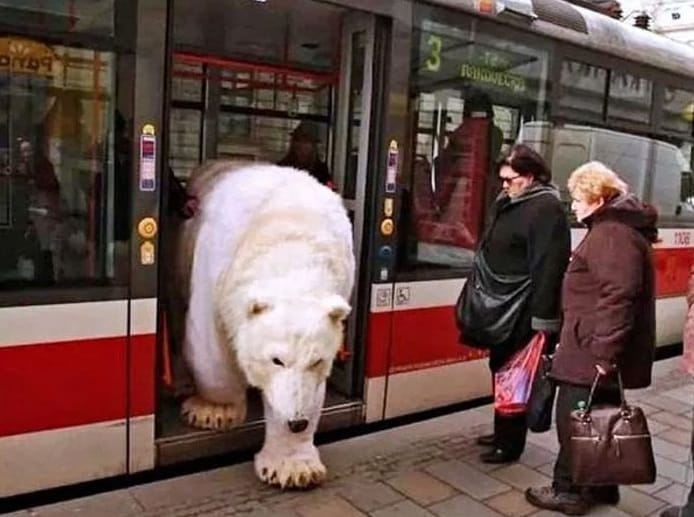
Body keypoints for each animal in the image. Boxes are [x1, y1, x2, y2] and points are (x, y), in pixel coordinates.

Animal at [172, 160, 356, 488]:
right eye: (276, 360)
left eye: (317, 360)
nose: (297, 422)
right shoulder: (217, 267)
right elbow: (210, 347)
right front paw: (212, 412)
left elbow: (311, 390)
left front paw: (294, 468)